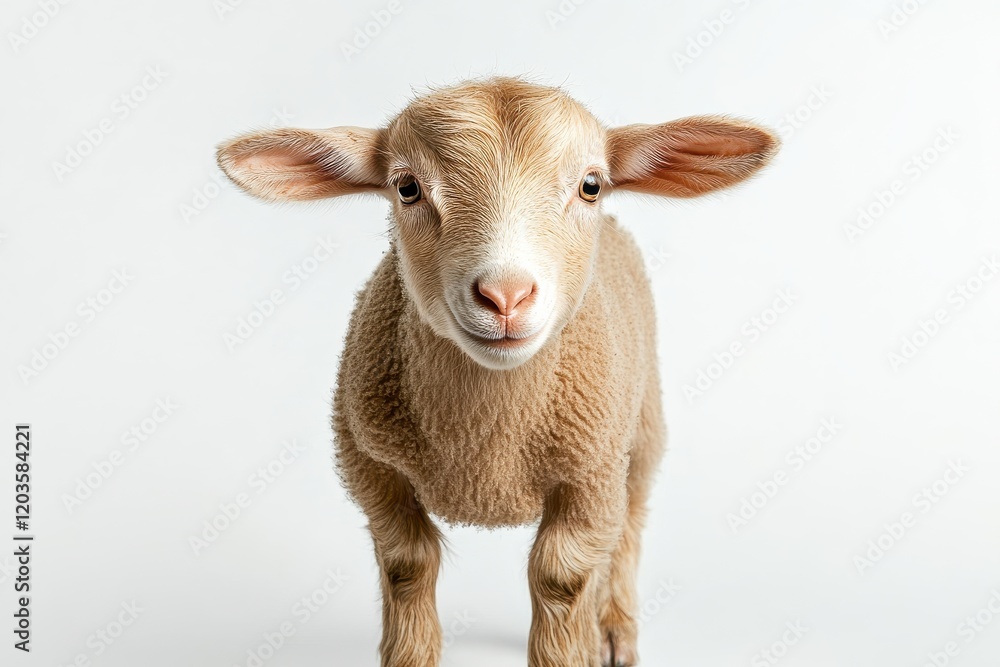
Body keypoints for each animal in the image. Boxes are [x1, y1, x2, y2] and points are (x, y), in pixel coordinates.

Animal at [217, 76, 778, 667]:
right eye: (407, 188)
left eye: (591, 185)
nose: (505, 296)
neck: (486, 444)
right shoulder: (371, 465)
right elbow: (407, 565)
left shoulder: (591, 472)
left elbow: (561, 578)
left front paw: (571, 646)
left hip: (641, 428)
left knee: (629, 522)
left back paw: (611, 631)